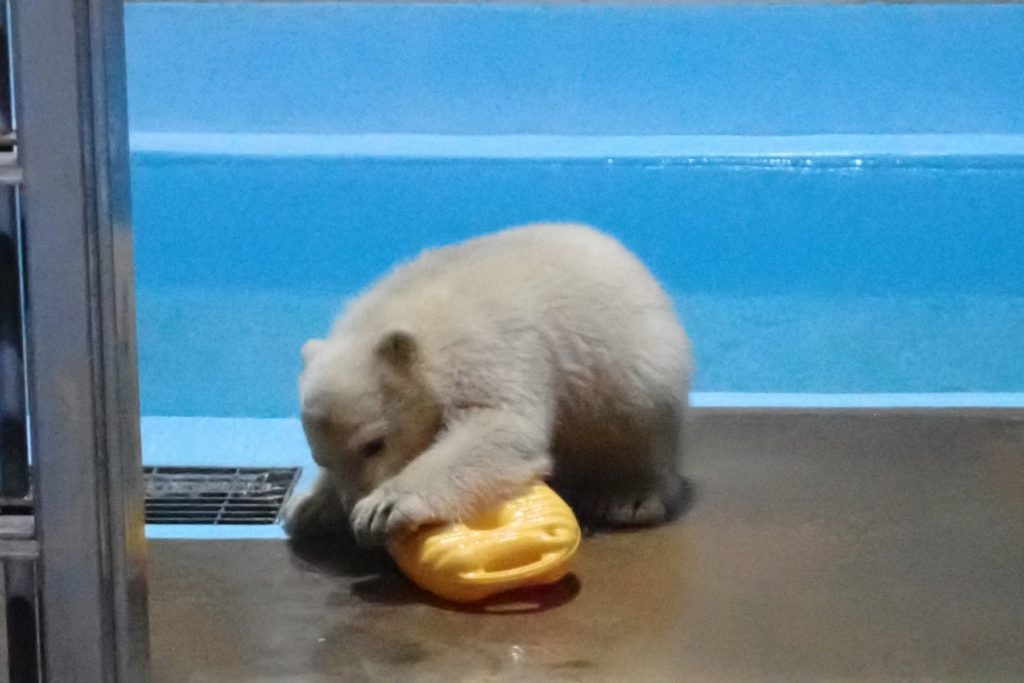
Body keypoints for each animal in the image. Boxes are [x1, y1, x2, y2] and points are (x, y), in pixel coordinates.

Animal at [284, 223, 691, 546]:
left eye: (374, 444)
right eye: (322, 458)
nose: (353, 502)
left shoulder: (483, 349)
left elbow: (495, 425)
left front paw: (383, 508)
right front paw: (307, 508)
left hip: (634, 365)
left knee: (637, 423)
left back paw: (630, 498)